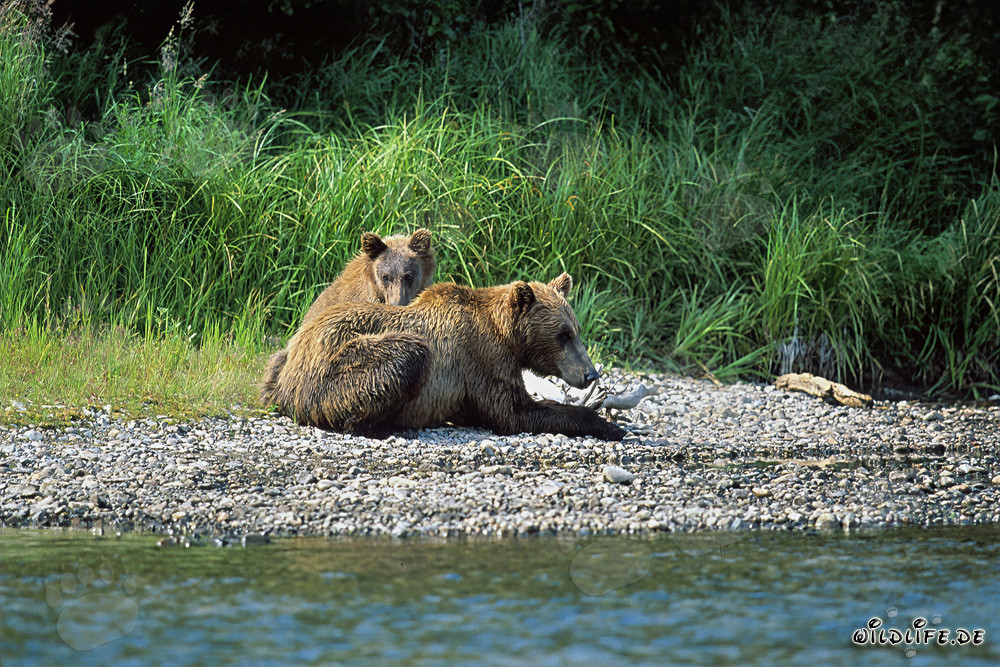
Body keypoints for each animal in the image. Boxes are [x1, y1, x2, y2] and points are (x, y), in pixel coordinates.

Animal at [265, 272, 626, 441]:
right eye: (562, 334)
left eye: (576, 329)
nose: (590, 374)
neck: (505, 334)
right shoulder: (479, 357)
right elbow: (513, 411)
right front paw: (607, 424)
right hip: (339, 362)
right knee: (406, 354)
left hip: (281, 361)